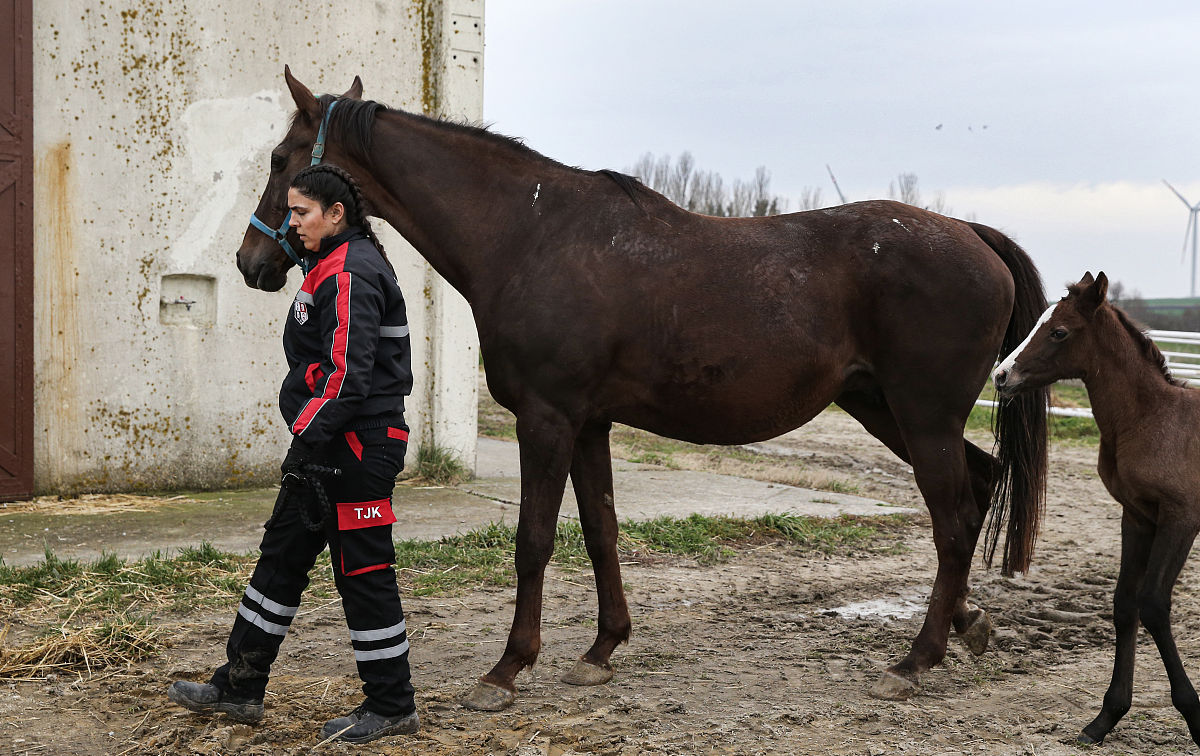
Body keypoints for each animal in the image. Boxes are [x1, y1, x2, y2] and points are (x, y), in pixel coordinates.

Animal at [235, 68, 1050, 710]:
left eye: (278, 158)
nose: (251, 263)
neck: (532, 235)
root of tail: (973, 236)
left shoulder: (548, 419)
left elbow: (535, 539)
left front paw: (507, 670)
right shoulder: (588, 423)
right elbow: (600, 531)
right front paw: (601, 651)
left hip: (922, 415)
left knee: (952, 521)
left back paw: (915, 661)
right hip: (888, 410)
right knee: (978, 489)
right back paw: (967, 624)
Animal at [993, 272, 1200, 747]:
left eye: (1059, 332)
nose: (1001, 375)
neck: (1150, 420)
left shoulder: (1180, 519)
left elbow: (1154, 605)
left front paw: (1197, 717)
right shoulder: (1137, 517)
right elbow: (1125, 605)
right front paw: (1106, 717)